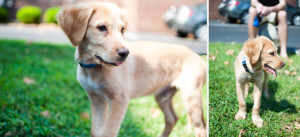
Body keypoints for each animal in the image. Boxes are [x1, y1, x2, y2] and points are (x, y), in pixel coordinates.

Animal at [56, 1, 206, 137]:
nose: (125, 53)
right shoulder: (97, 99)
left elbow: (107, 132)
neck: (93, 68)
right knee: (172, 119)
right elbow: (96, 131)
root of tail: (195, 54)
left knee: (200, 128)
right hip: (163, 95)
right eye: (102, 27)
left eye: (122, 30)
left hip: (190, 95)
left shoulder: (120, 100)